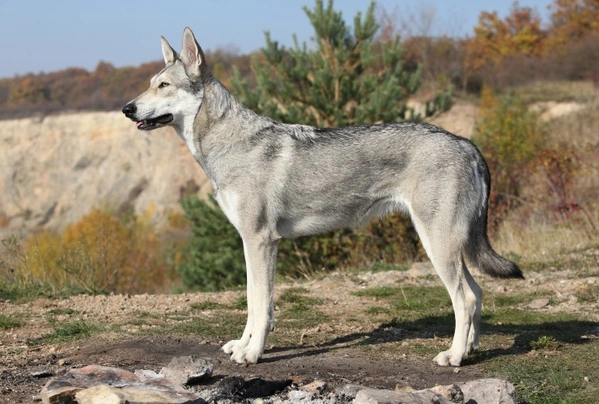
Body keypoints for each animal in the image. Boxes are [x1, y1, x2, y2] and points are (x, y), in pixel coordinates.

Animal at [123, 25, 524, 366]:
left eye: (163, 85)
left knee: (466, 298)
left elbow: (261, 305)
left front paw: (252, 354)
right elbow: (252, 303)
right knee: (478, 294)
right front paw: (242, 345)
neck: (229, 144)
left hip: (437, 245)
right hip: (452, 248)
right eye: (150, 84)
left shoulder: (261, 242)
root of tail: (467, 143)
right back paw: (470, 349)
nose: (127, 108)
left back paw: (453, 356)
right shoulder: (250, 243)